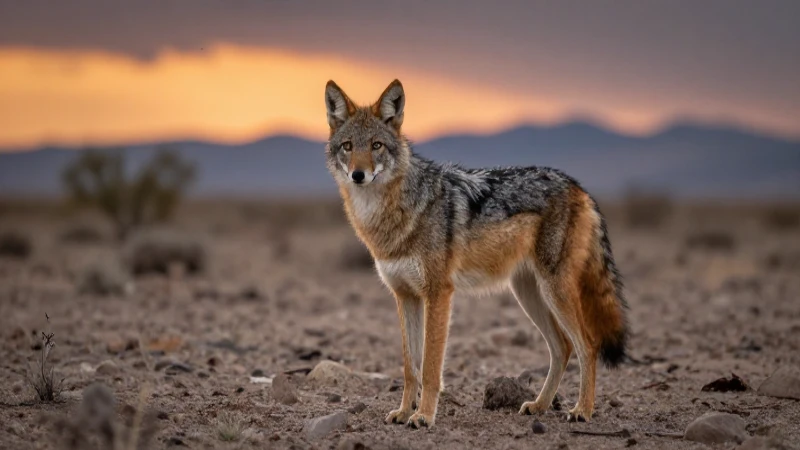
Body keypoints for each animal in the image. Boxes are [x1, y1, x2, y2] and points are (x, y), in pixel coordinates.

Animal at [324, 79, 629, 428]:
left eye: (376, 146)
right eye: (348, 146)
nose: (358, 175)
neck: (390, 218)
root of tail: (578, 186)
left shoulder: (439, 293)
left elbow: (430, 368)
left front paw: (424, 415)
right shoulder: (405, 296)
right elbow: (410, 367)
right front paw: (403, 411)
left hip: (555, 292)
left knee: (588, 346)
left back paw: (583, 410)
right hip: (528, 294)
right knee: (562, 347)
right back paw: (539, 404)